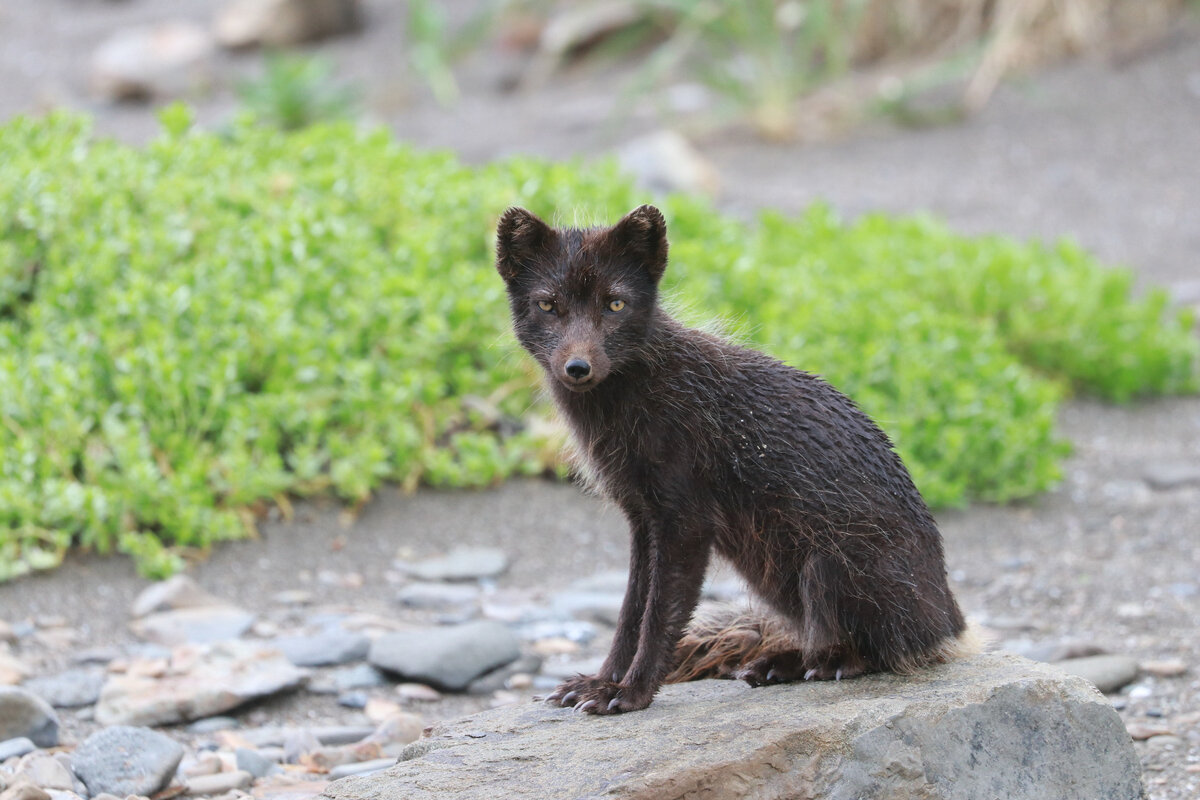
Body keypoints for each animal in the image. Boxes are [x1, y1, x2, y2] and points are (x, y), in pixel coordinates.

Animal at [492, 203, 969, 714]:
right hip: (774, 572)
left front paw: (631, 693)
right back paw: (782, 664)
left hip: (824, 564)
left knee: (881, 650)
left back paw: (822, 663)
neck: (639, 394)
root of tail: (952, 619)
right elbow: (629, 613)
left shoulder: (685, 521)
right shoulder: (641, 517)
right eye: (548, 305)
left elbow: (659, 617)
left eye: (615, 304)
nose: (577, 367)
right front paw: (603, 682)